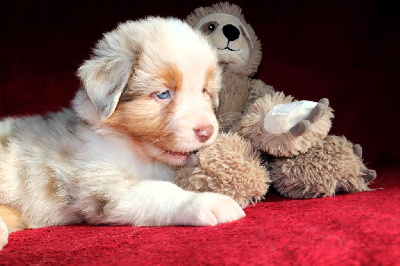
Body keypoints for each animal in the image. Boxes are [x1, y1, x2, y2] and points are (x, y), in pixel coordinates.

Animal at [0, 16, 244, 249]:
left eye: (204, 91)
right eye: (163, 94)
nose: (207, 131)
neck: (136, 151)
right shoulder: (103, 185)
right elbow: (159, 190)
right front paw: (208, 201)